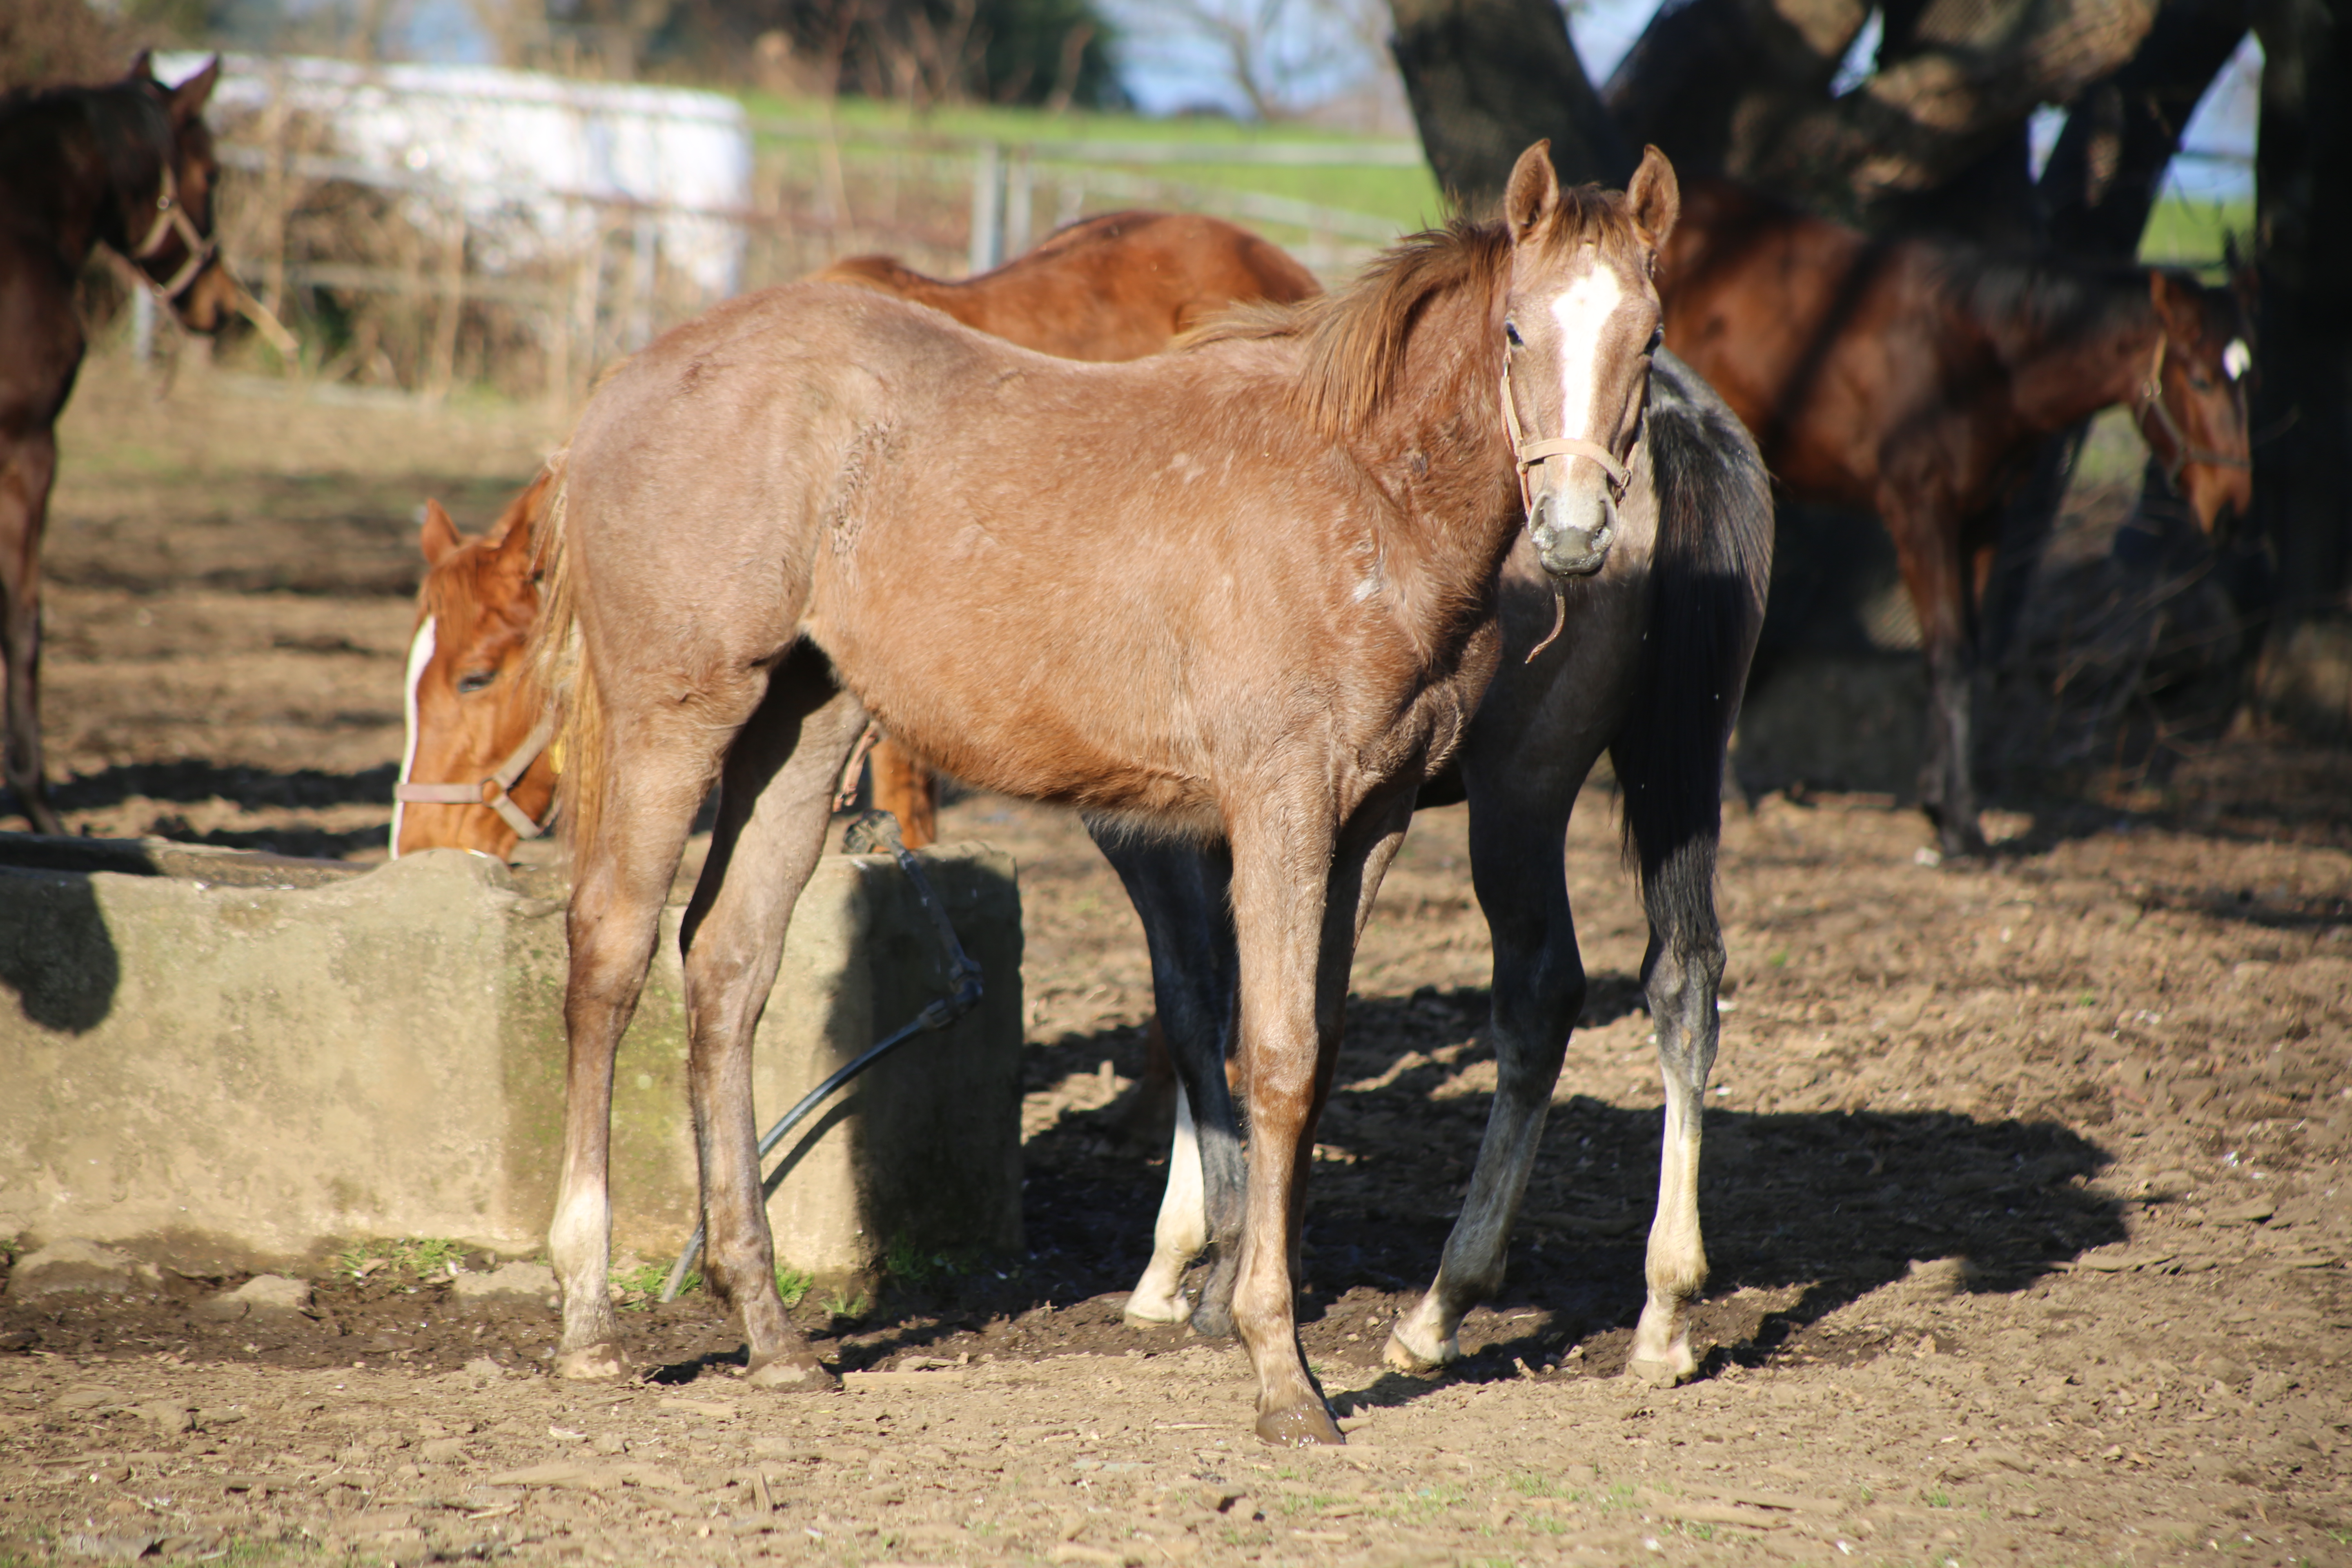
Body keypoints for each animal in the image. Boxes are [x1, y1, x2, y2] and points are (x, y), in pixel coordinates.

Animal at [529, 147, 1675, 1448]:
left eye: (1647, 336)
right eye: (1517, 328)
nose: (1576, 531)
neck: (1363, 491)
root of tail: (628, 380)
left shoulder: (1370, 819)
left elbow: (1314, 1055)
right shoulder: (1278, 802)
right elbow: (1271, 1053)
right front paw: (1279, 1371)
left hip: (802, 724)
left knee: (725, 966)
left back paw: (770, 1334)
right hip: (674, 714)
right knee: (612, 954)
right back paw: (587, 1321)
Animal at [1656, 176, 2258, 860]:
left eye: (2249, 378)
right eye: (2201, 379)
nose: (2232, 508)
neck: (1976, 359)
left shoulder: (1984, 519)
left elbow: (1969, 654)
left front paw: (1943, 809)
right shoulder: (1922, 512)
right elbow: (1946, 655)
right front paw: (1962, 823)